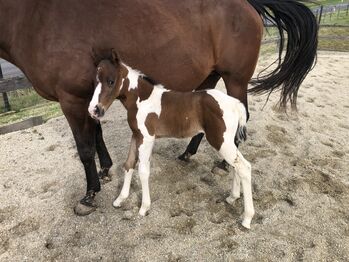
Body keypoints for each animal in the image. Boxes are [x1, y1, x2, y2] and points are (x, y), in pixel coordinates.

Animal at [88, 54, 254, 228]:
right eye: (95, 81)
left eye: (111, 81)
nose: (94, 110)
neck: (141, 99)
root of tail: (235, 103)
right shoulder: (136, 135)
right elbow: (128, 164)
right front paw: (120, 199)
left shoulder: (147, 137)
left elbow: (143, 170)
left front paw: (144, 207)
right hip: (227, 142)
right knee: (236, 165)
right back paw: (232, 197)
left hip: (220, 141)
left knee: (244, 167)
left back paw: (247, 218)